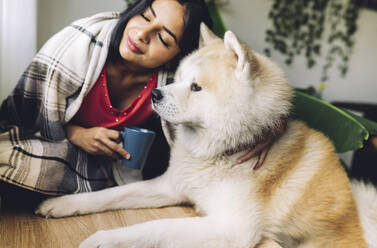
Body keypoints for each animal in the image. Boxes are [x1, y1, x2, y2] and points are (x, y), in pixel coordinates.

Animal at [36, 23, 376, 248]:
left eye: (196, 87)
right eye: (178, 78)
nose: (156, 94)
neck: (219, 153)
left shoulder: (231, 228)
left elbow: (154, 227)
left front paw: (103, 238)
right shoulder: (169, 186)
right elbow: (110, 195)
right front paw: (63, 203)